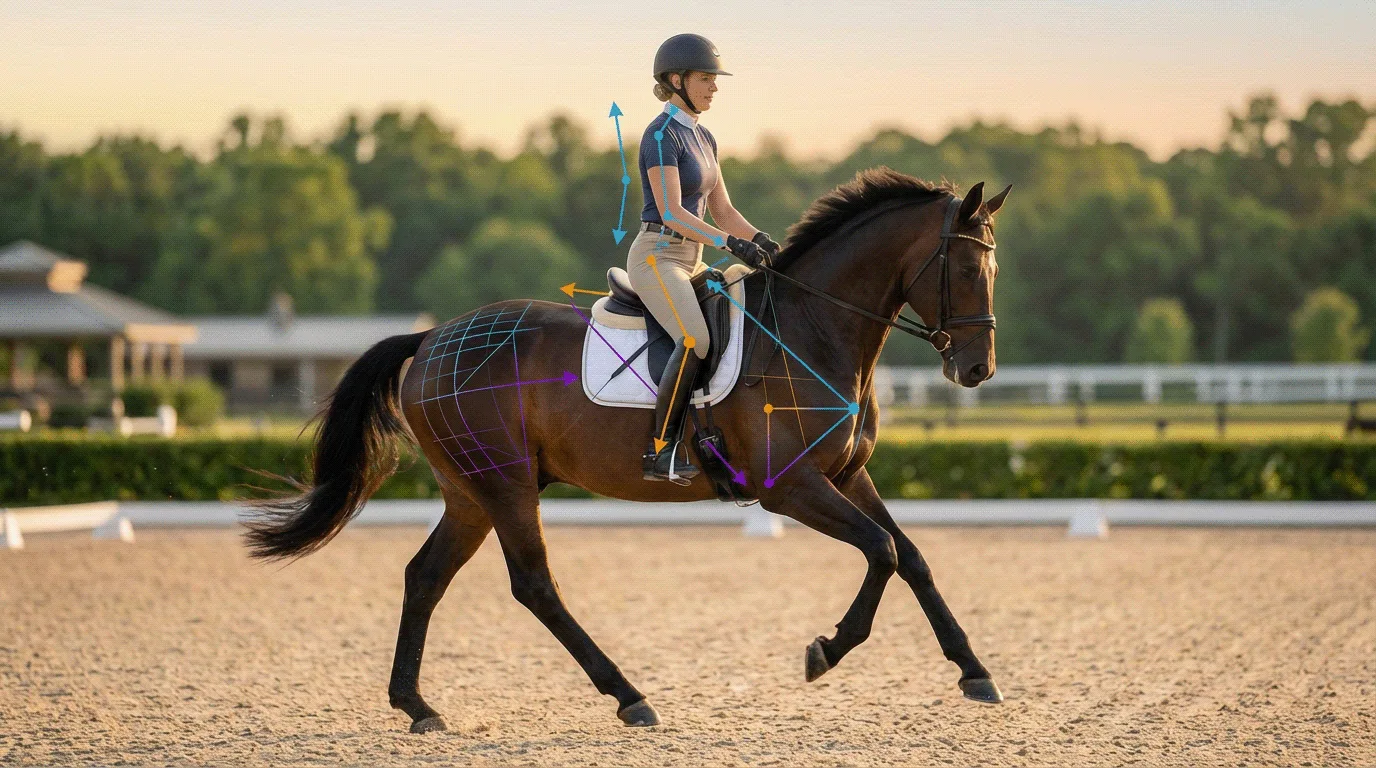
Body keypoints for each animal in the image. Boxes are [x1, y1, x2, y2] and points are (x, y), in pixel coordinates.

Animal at [244, 167, 1011, 732]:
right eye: (965, 269)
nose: (977, 371)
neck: (813, 327)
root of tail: (431, 338)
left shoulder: (848, 476)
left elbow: (911, 556)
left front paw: (976, 672)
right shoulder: (791, 487)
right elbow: (881, 553)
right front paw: (825, 651)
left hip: (471, 490)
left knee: (425, 576)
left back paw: (417, 706)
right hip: (505, 484)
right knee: (534, 584)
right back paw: (629, 696)